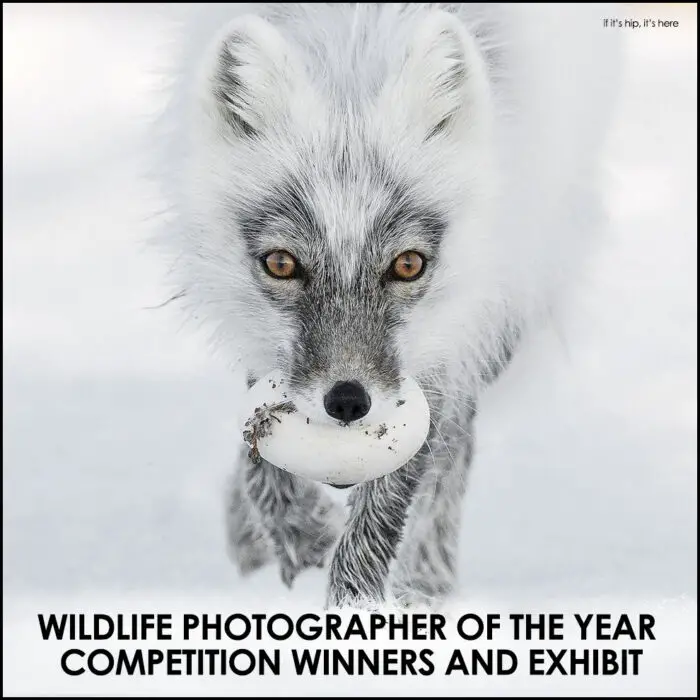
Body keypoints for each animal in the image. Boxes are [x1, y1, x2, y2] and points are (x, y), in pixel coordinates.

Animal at [152, 2, 616, 608]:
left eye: (408, 264)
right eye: (281, 263)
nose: (348, 401)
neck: (352, 51)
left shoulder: (445, 344)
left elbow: (393, 498)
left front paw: (358, 612)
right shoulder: (259, 339)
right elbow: (261, 460)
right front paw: (300, 538)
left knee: (455, 449)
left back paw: (425, 583)